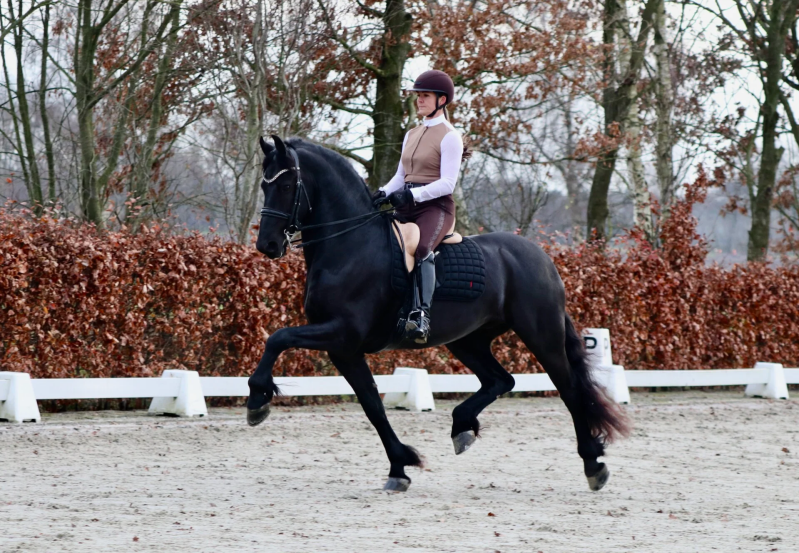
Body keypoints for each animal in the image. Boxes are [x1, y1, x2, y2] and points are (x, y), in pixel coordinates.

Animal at [248, 135, 629, 492]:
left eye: (286, 185)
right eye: (265, 185)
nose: (267, 245)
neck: (350, 245)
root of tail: (542, 258)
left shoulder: (342, 332)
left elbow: (277, 338)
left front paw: (257, 400)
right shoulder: (343, 349)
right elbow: (373, 406)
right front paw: (399, 467)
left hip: (541, 335)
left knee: (569, 389)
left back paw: (593, 465)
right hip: (468, 341)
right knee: (500, 380)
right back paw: (462, 426)